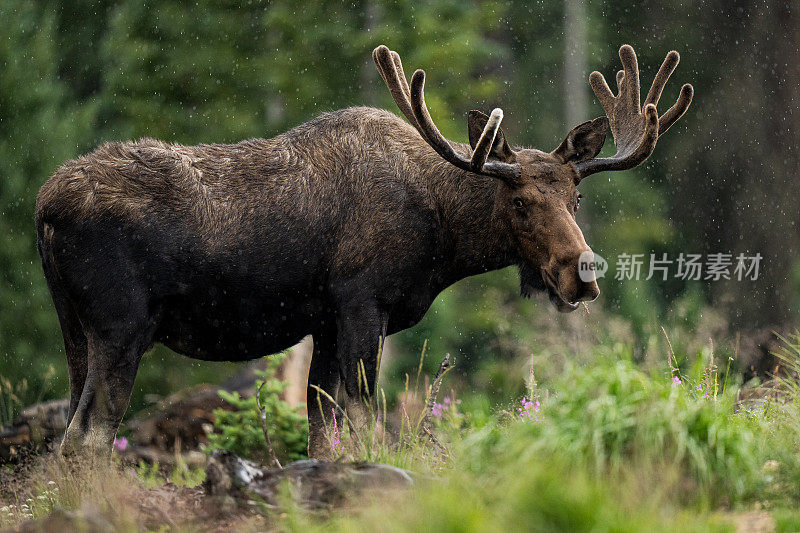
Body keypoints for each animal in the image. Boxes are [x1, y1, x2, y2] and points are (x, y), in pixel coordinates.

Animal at [34, 43, 692, 458]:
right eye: (520, 202)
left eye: (576, 197)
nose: (582, 275)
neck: (442, 238)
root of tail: (42, 207)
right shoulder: (360, 305)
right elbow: (362, 421)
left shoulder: (324, 324)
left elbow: (321, 433)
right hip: (121, 325)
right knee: (87, 436)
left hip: (75, 332)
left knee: (67, 430)